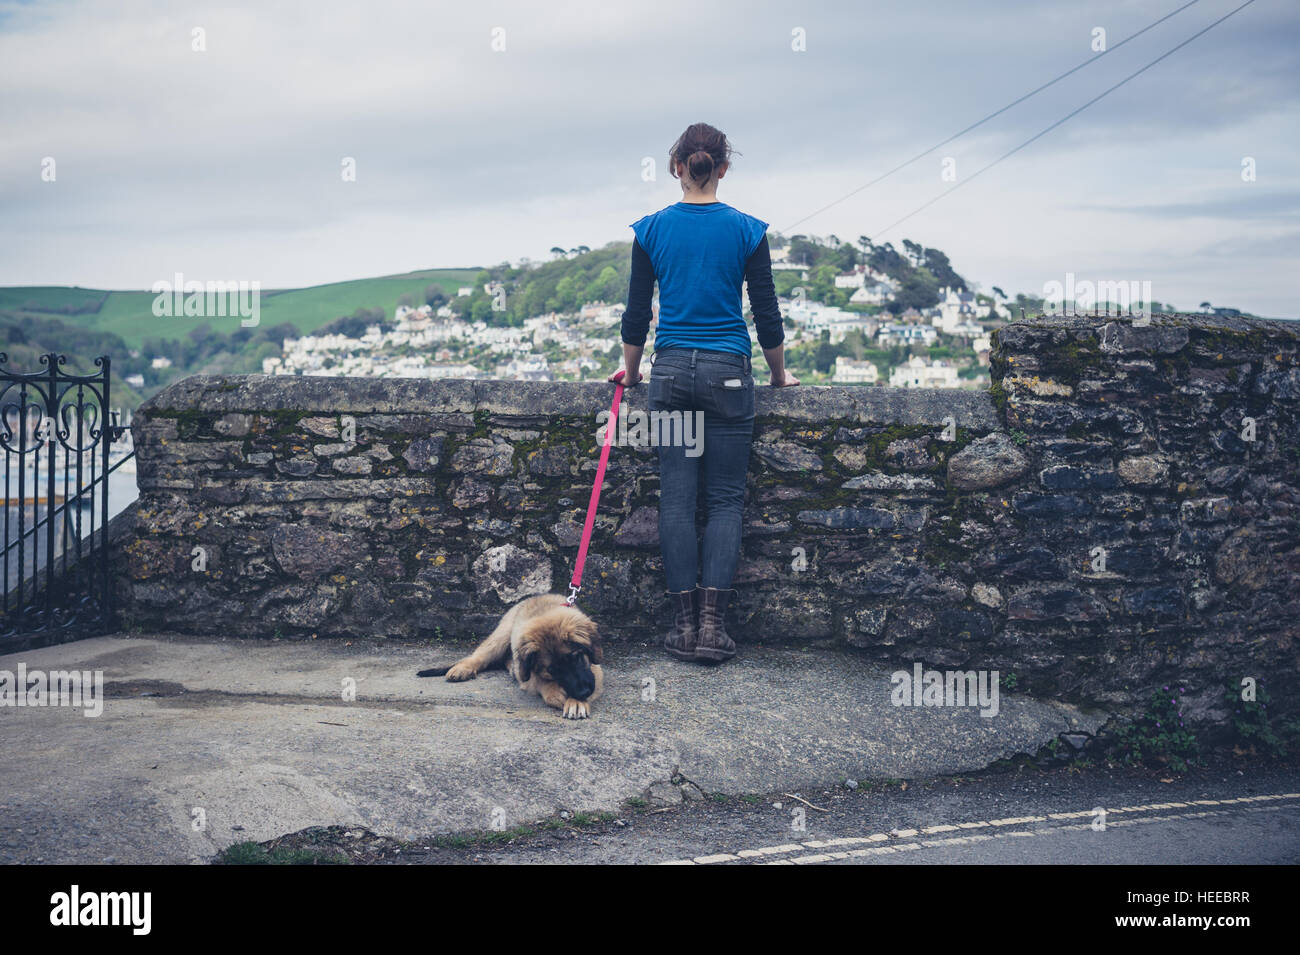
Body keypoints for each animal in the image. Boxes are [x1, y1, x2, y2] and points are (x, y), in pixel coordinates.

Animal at [416, 595, 603, 722]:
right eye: (552, 670)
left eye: (576, 658)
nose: (584, 692)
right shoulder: (527, 673)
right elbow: (541, 680)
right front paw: (558, 693)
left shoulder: (595, 670)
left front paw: (576, 702)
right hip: (501, 635)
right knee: (479, 656)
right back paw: (462, 668)